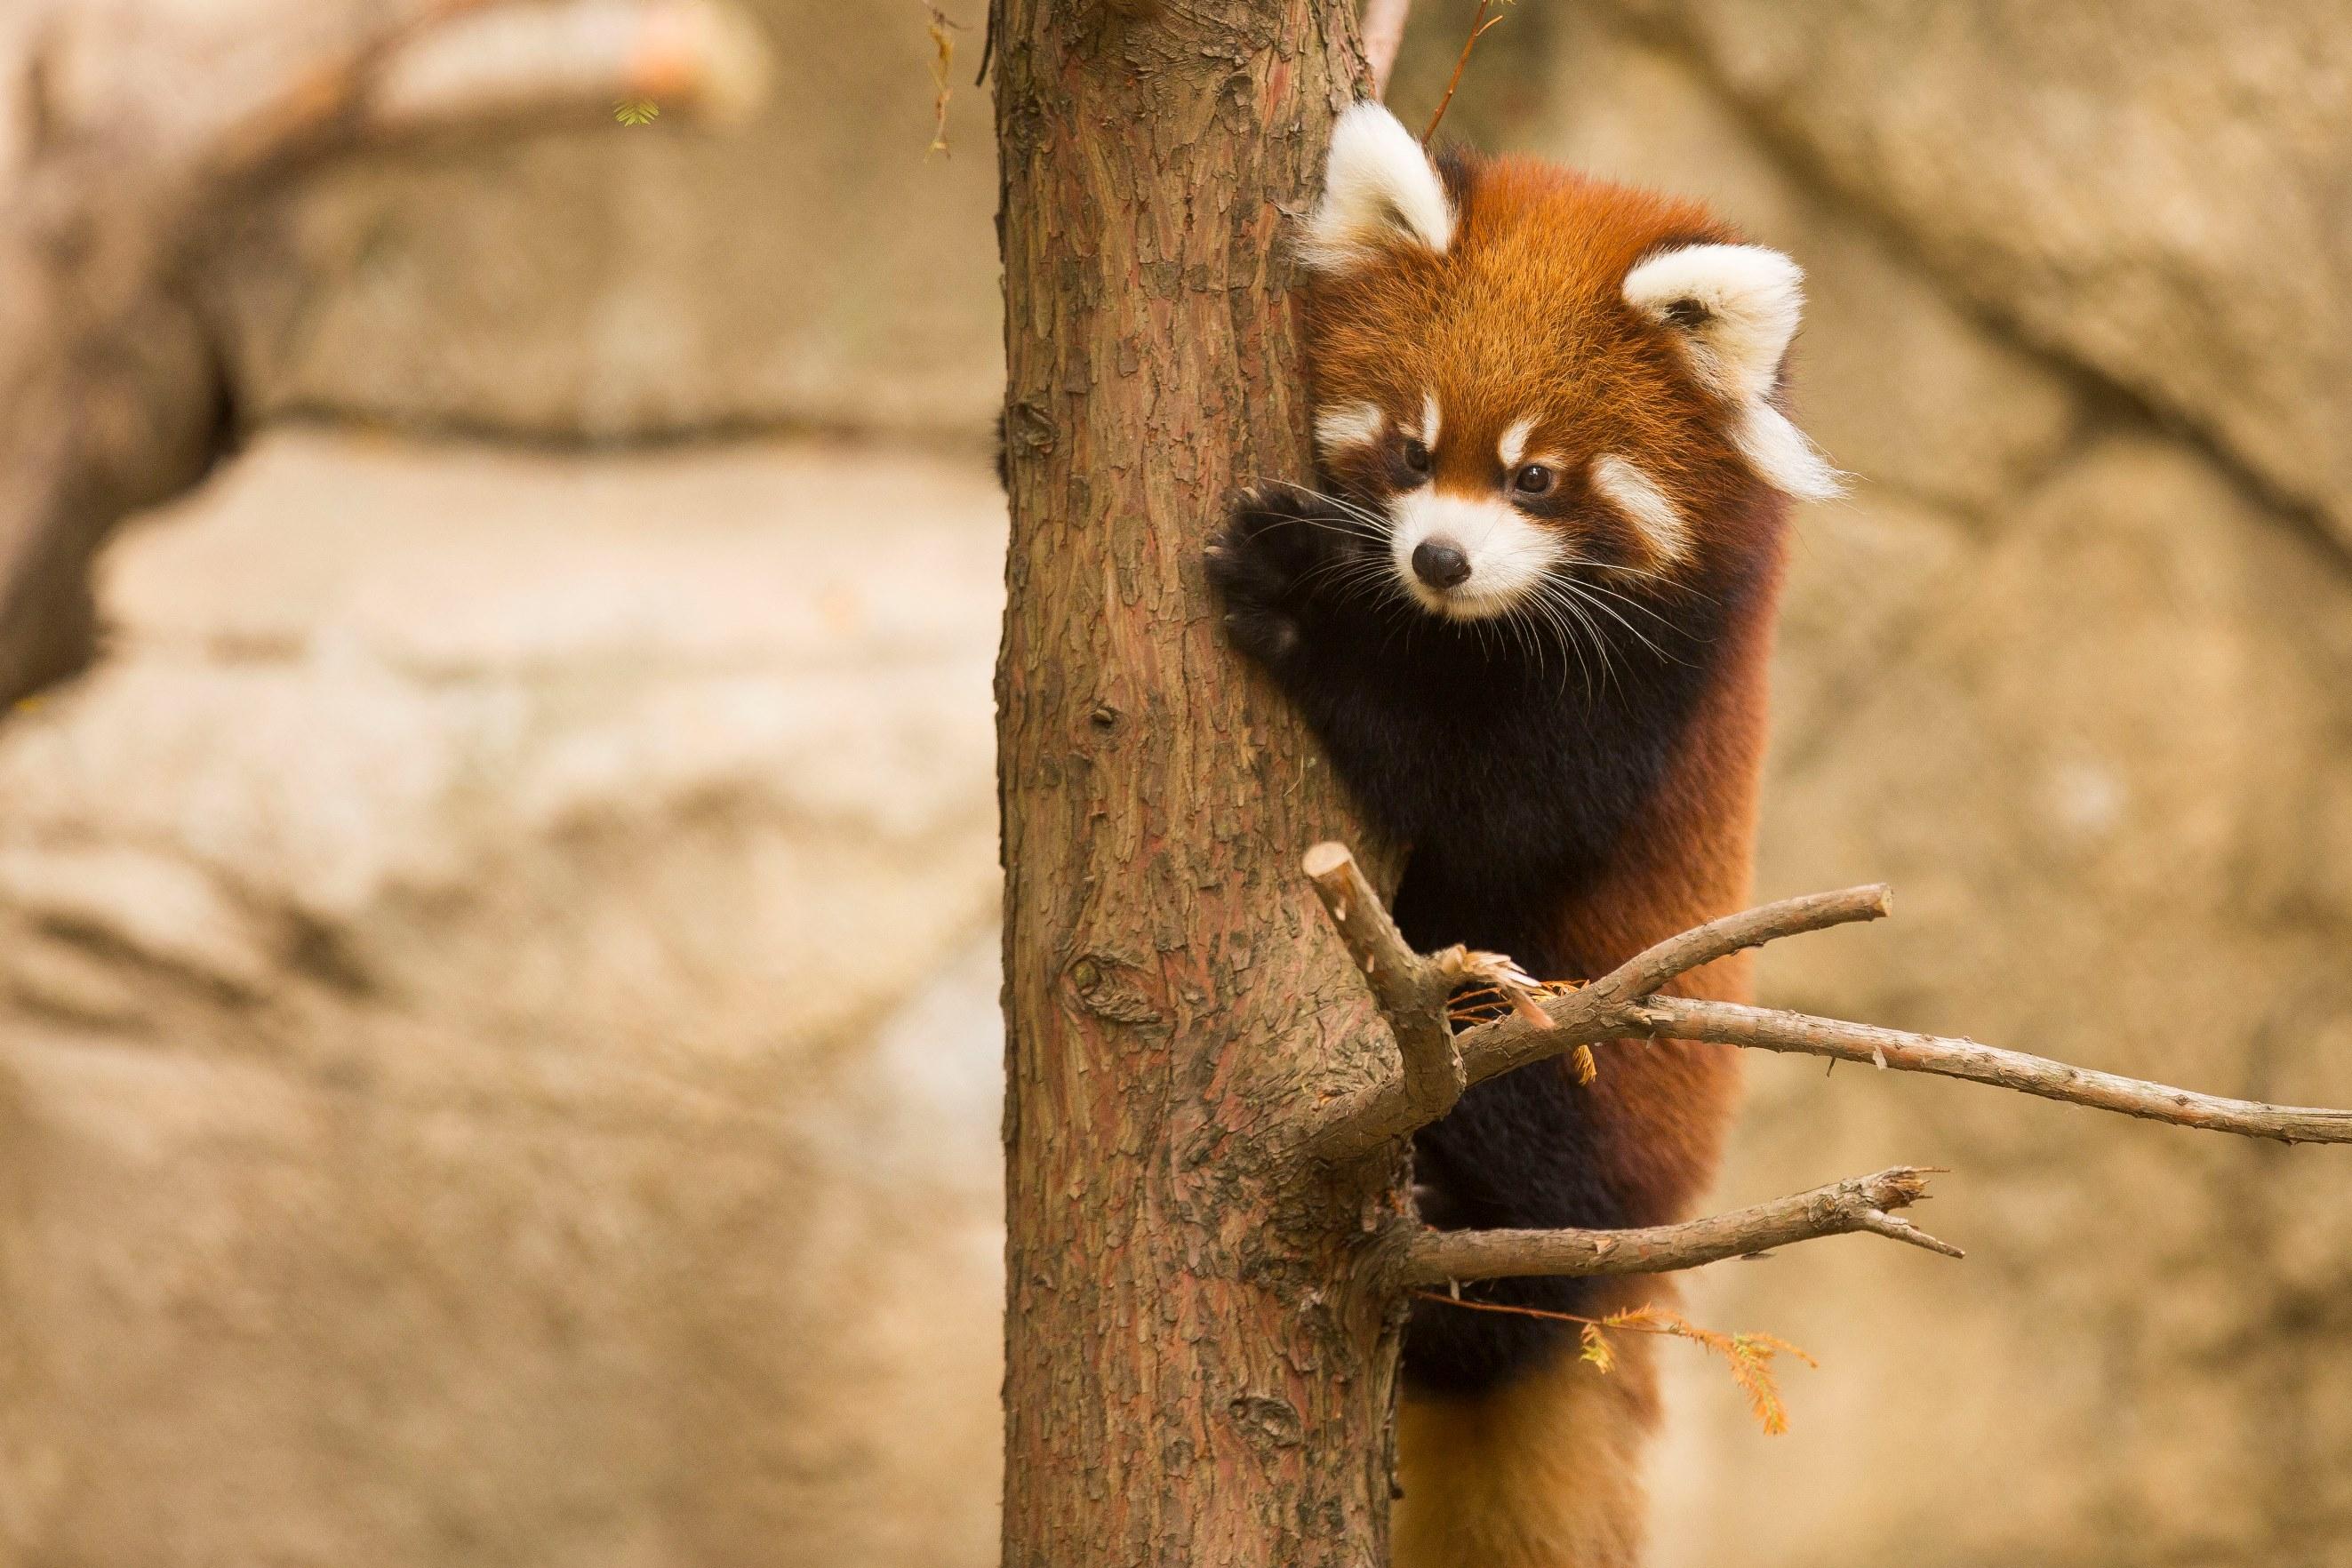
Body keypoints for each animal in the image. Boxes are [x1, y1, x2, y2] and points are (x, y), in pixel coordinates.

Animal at [1213, 104, 1834, 1568]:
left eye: (1536, 477)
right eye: (1407, 450)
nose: (1436, 560)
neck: (1466, 631)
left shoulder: (1658, 679)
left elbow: (1492, 804)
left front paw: (1305, 602)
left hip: (1591, 1088)